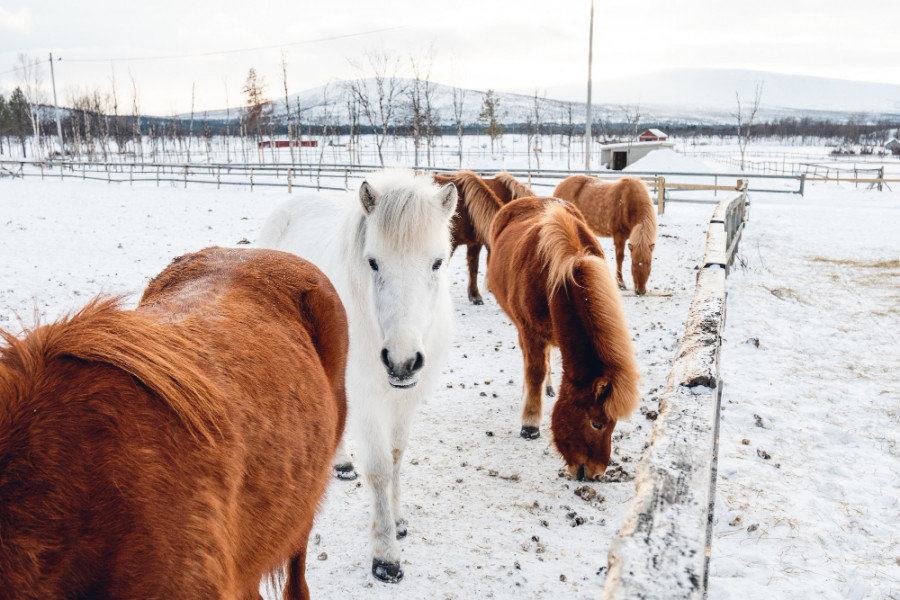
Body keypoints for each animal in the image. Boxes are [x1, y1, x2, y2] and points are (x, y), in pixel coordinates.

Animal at [258, 171, 458, 584]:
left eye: (437, 262)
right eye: (373, 262)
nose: (401, 361)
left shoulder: (404, 401)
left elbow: (396, 457)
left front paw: (397, 521)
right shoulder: (366, 399)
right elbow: (379, 469)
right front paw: (386, 556)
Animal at [488, 199, 644, 480]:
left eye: (614, 424)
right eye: (597, 424)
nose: (596, 473)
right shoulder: (529, 331)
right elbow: (535, 371)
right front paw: (530, 423)